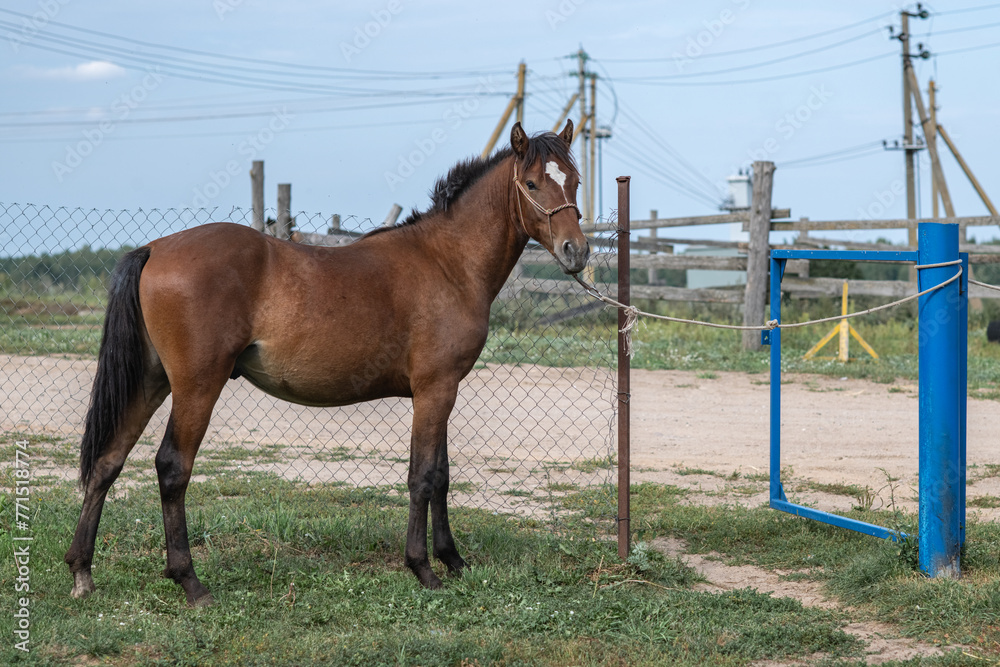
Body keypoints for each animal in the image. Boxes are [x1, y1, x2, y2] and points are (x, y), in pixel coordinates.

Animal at [64, 121, 589, 605]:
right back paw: (190, 581)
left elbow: (440, 476)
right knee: (172, 468)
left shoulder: (441, 391)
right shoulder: (435, 390)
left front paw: (453, 560)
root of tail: (156, 247)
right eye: (532, 184)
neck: (447, 262)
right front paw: (423, 568)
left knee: (108, 461)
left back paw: (82, 571)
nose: (576, 252)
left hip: (151, 381)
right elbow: (422, 477)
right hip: (197, 385)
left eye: (576, 181)